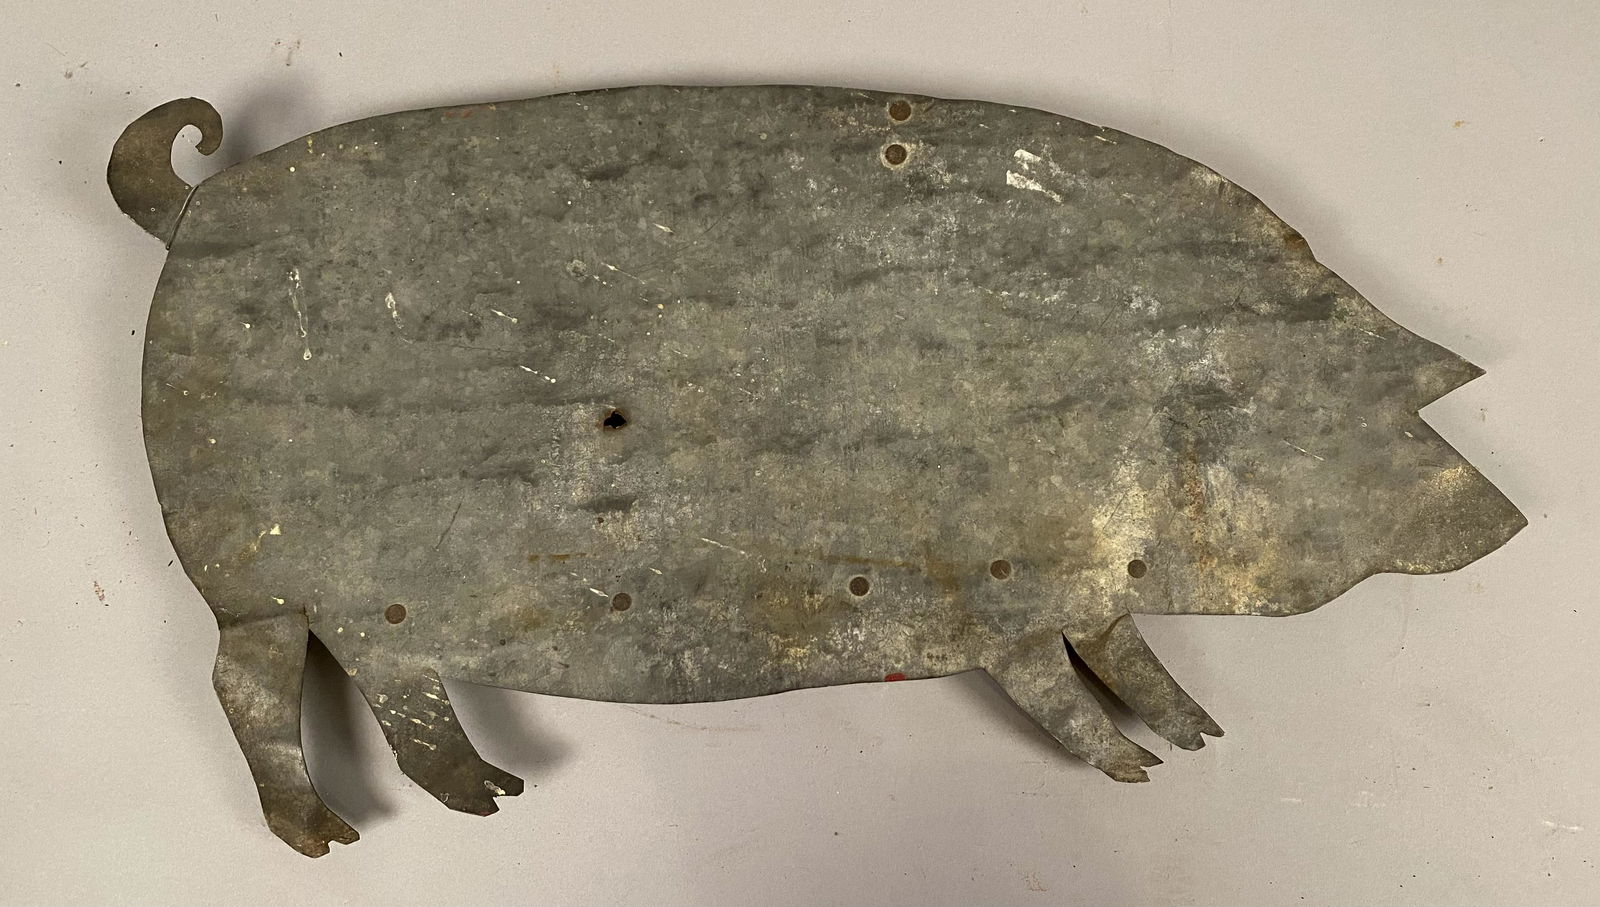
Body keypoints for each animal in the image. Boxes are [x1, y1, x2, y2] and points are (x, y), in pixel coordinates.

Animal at [109, 87, 1526, 856]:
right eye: (1412, 426)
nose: (1513, 521)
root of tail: (194, 207)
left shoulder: (1074, 587)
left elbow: (1125, 659)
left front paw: (1200, 739)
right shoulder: (1000, 593)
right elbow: (1059, 692)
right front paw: (1138, 777)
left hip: (362, 599)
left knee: (389, 681)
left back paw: (491, 799)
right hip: (264, 574)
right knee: (249, 681)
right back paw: (332, 839)